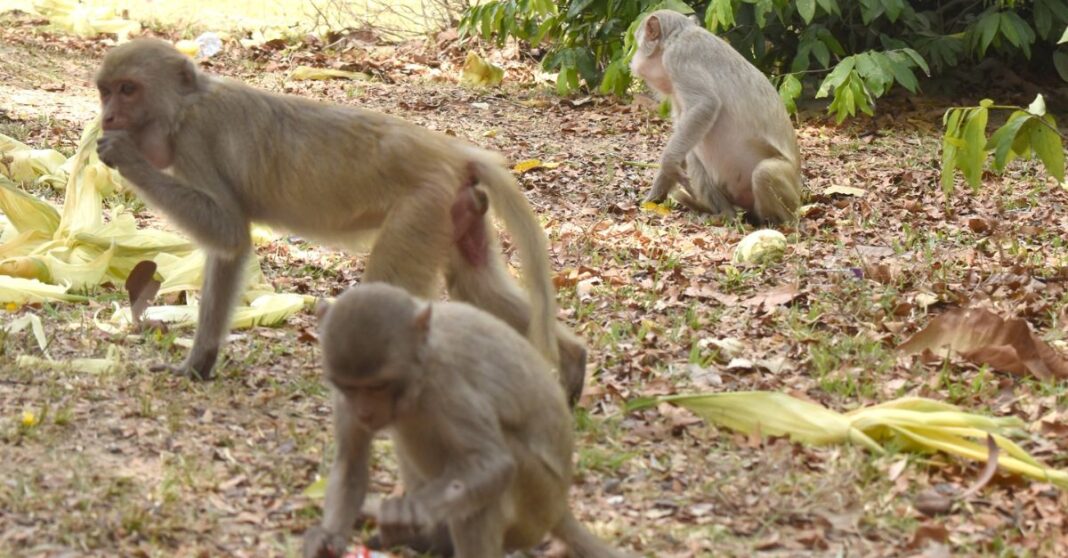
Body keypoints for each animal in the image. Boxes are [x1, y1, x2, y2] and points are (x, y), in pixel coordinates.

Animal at [96, 36, 589, 399]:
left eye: (128, 89)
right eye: (105, 91)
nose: (107, 116)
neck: (186, 105)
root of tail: (453, 152)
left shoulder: (196, 139)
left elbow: (228, 230)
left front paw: (124, 156)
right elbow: (228, 250)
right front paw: (199, 363)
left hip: (421, 206)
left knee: (389, 288)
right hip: (456, 209)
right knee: (475, 286)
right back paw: (573, 360)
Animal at [301, 282, 627, 555]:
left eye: (378, 386)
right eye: (349, 387)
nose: (364, 412)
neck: (420, 367)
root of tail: (560, 507)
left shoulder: (447, 385)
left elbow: (492, 464)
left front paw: (411, 510)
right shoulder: (343, 398)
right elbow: (351, 464)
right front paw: (327, 537)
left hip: (537, 502)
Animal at [623, 9, 803, 223]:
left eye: (637, 42)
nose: (634, 58)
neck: (675, 38)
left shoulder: (678, 59)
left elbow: (705, 105)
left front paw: (668, 163)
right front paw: (654, 197)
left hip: (789, 197)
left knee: (764, 173)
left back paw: (770, 221)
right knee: (693, 154)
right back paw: (725, 213)